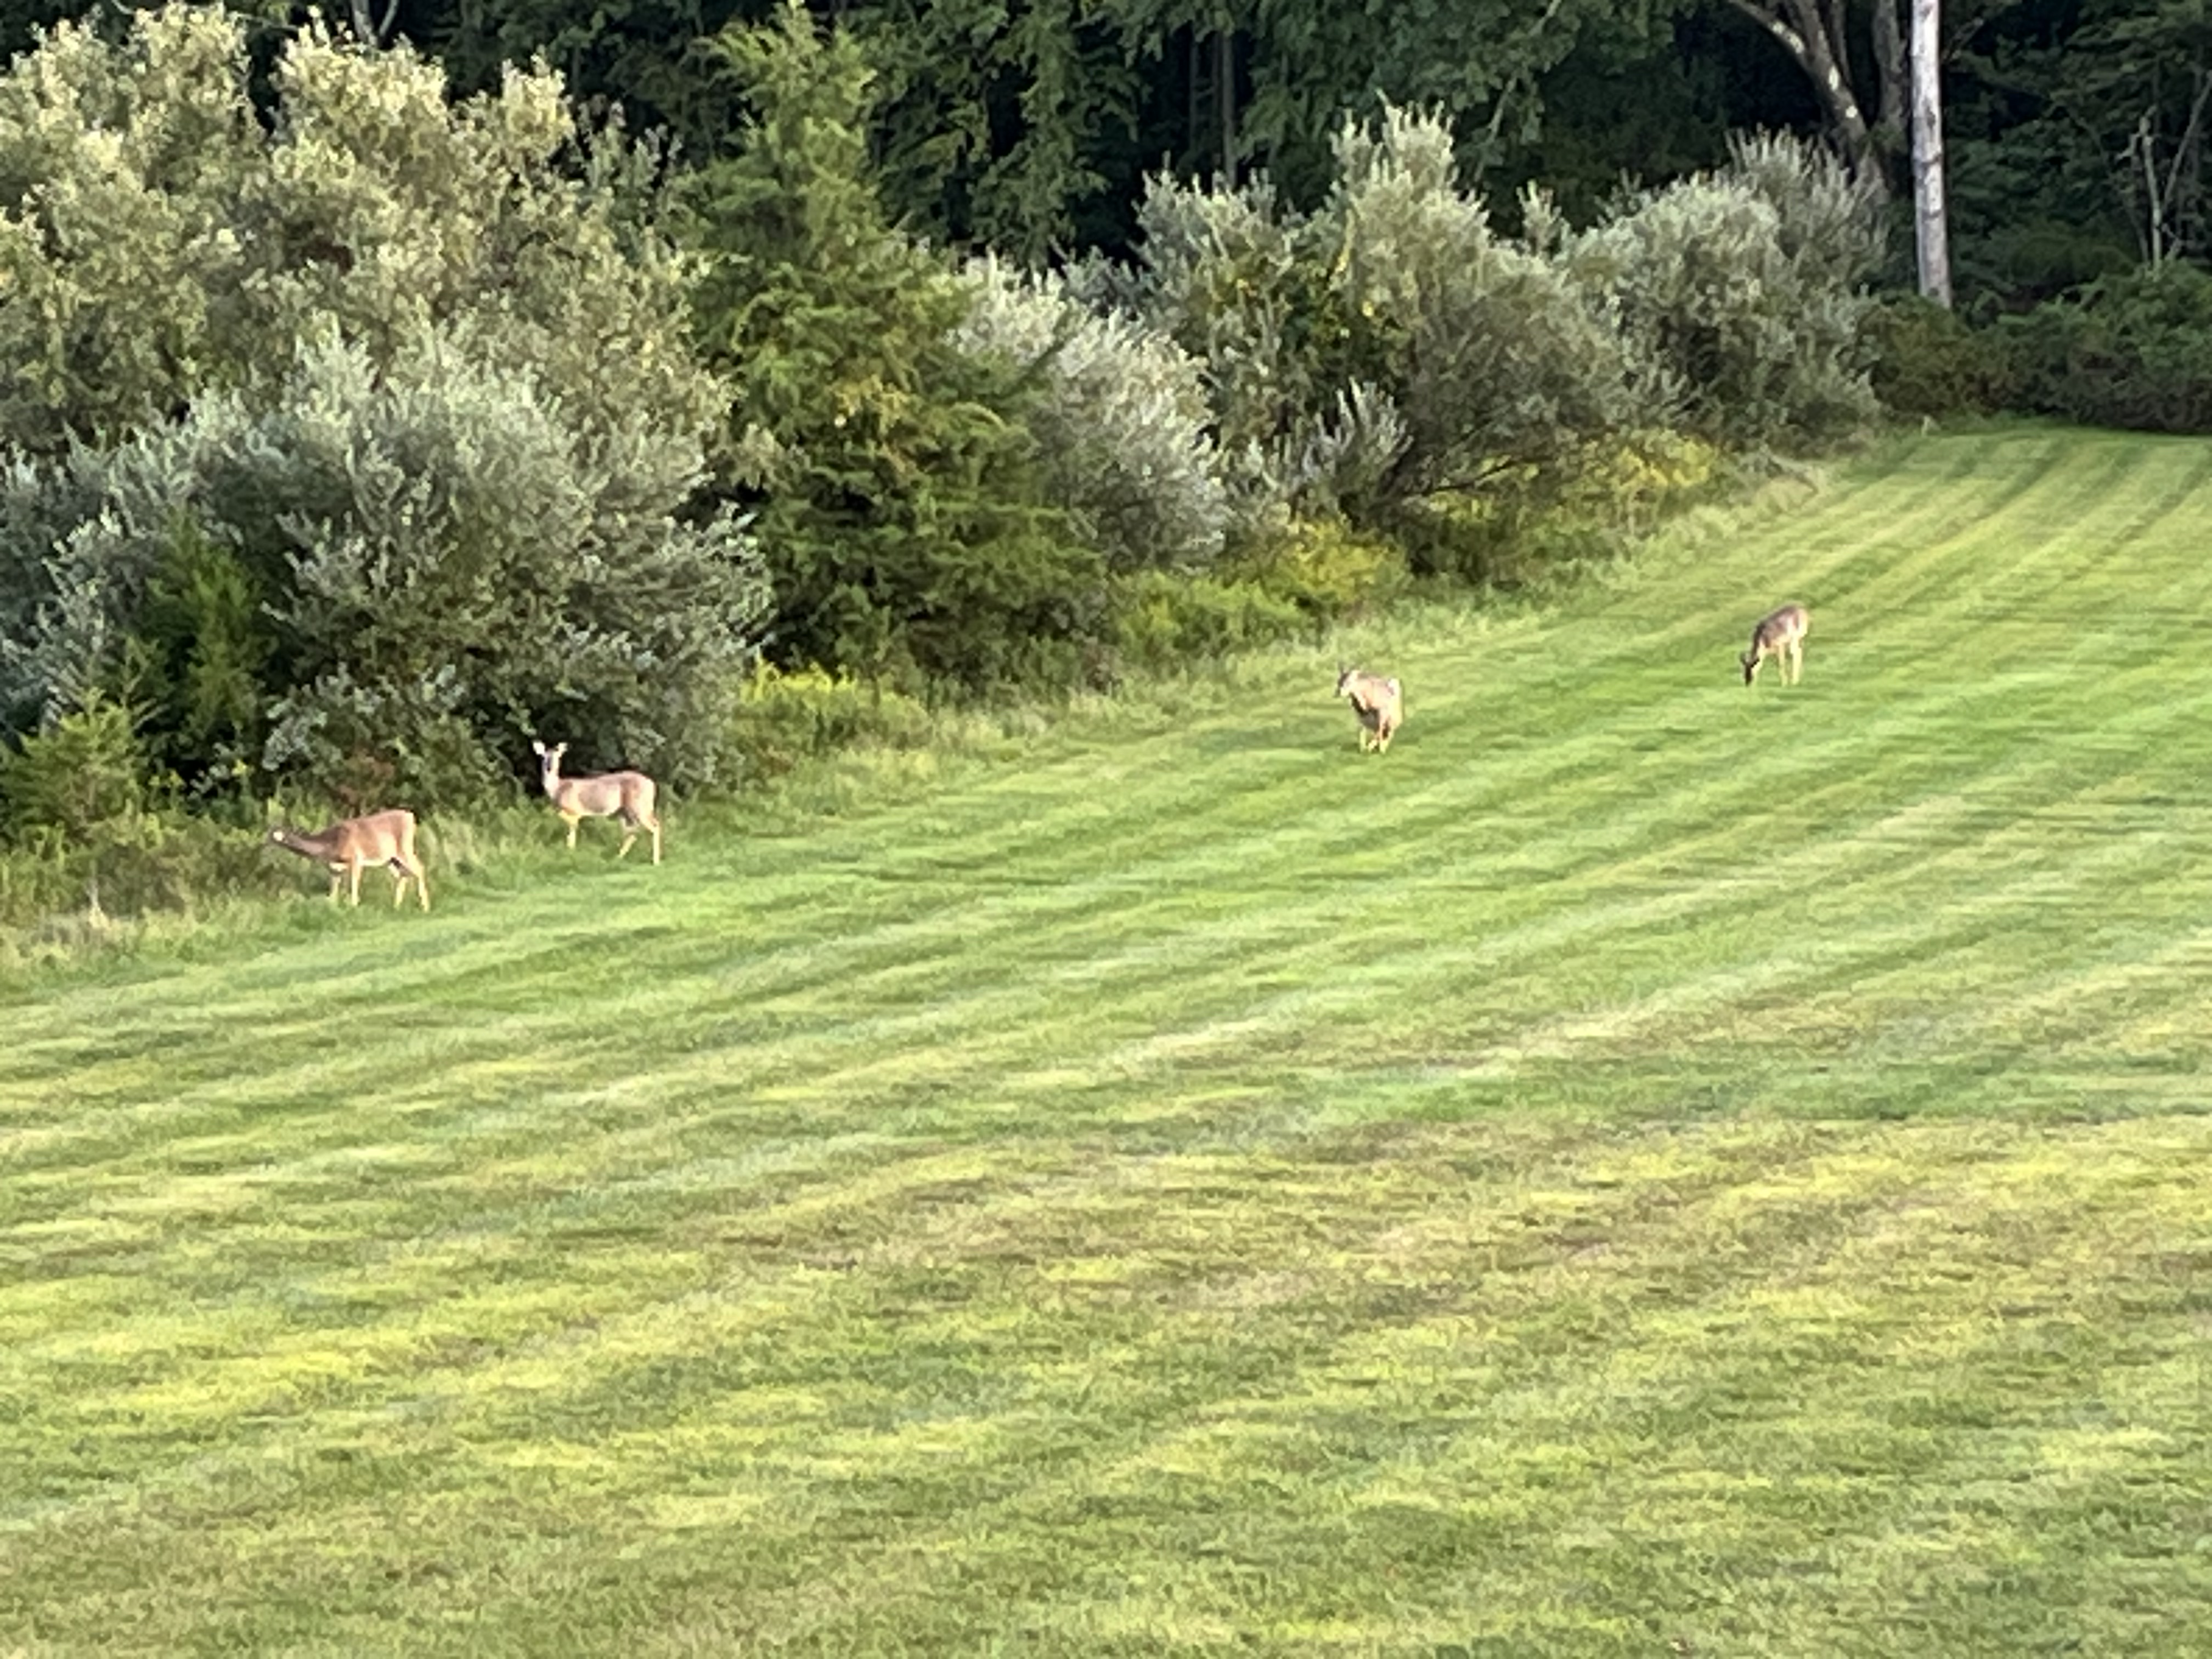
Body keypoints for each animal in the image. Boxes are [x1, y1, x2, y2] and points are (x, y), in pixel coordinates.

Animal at [268, 809, 430, 911]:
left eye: (277, 836)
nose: (265, 845)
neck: (332, 844)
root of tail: (411, 816)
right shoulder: (334, 869)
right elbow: (332, 894)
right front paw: (333, 911)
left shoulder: (356, 859)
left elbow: (353, 886)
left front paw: (354, 909)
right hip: (391, 859)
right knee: (404, 875)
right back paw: (396, 908)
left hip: (405, 848)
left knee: (420, 869)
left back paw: (426, 908)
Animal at [532, 740, 662, 864]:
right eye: (544, 757)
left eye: (558, 756)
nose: (549, 767)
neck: (558, 789)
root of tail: (652, 785)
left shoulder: (575, 810)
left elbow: (572, 828)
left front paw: (571, 853)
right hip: (627, 812)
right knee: (634, 833)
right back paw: (617, 858)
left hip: (639, 807)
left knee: (653, 827)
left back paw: (655, 862)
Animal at [1335, 665, 1404, 754]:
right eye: (1338, 682)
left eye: (1349, 682)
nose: (1337, 693)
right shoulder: (1361, 717)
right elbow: (1361, 731)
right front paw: (1363, 749)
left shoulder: (1382, 713)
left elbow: (1380, 729)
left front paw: (1374, 748)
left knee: (1389, 731)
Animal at [1741, 603, 1810, 687]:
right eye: (1744, 670)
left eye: (1752, 669)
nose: (1748, 684)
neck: (1763, 634)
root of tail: (1802, 610)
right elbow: (1777, 664)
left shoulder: (1780, 647)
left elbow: (1781, 664)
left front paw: (1784, 684)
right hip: (1798, 640)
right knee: (1800, 652)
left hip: (1794, 640)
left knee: (1796, 653)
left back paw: (1794, 682)